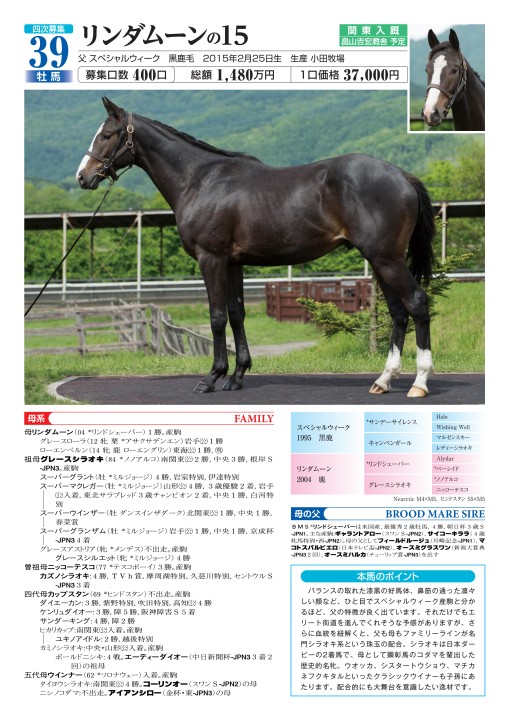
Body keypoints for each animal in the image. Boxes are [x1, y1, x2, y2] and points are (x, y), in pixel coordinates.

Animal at [77, 97, 436, 397]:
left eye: (106, 135)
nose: (83, 177)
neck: (199, 180)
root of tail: (402, 175)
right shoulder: (233, 262)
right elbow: (237, 315)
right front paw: (237, 376)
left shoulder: (211, 259)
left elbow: (217, 316)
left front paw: (212, 377)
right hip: (381, 261)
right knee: (398, 312)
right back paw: (383, 380)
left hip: (386, 259)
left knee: (418, 303)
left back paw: (418, 383)